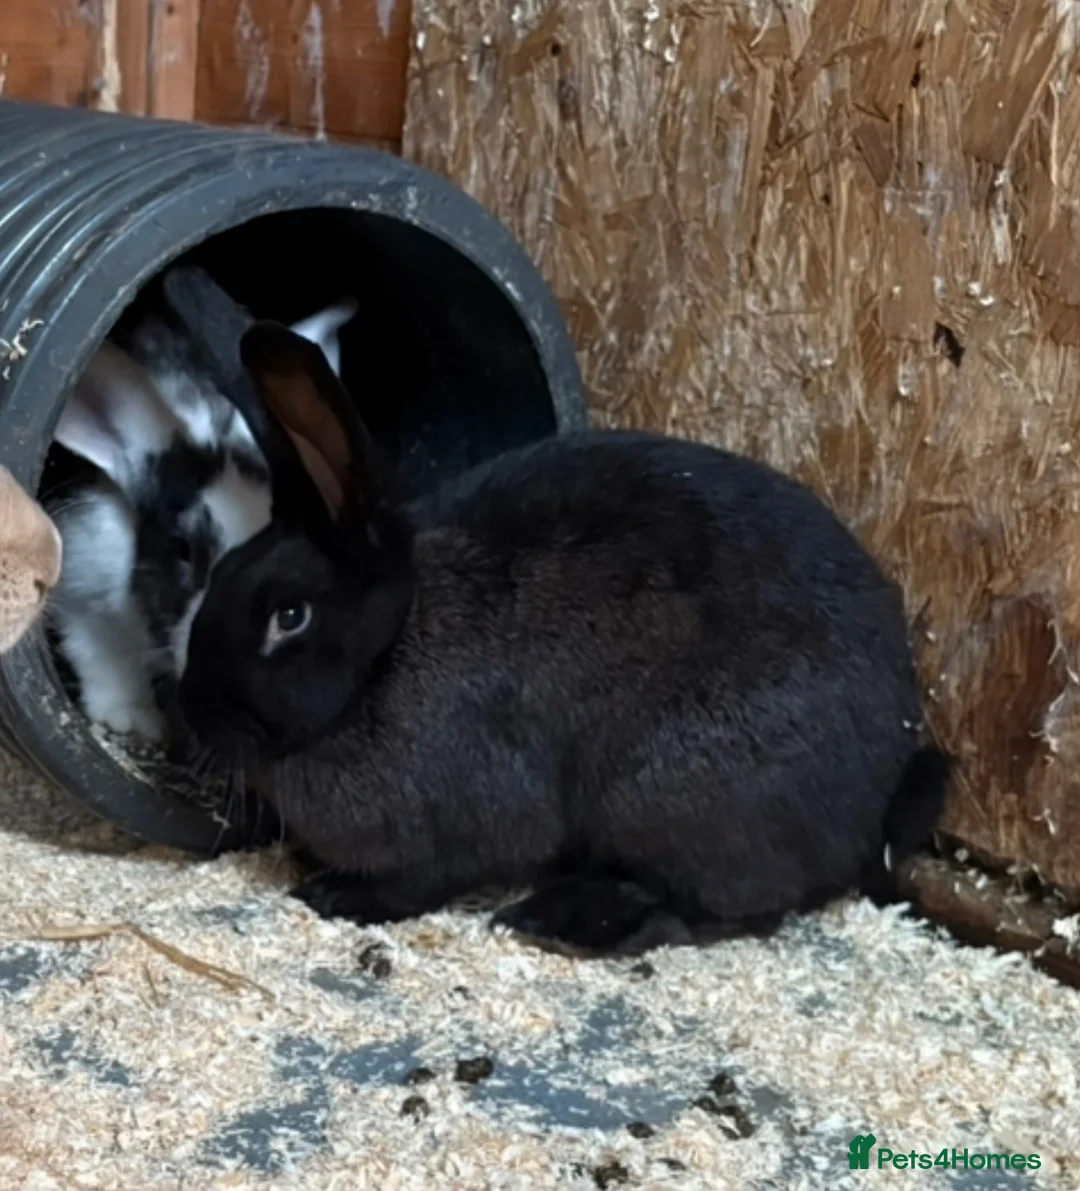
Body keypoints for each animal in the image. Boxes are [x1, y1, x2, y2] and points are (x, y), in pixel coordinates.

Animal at [166, 283, 948, 954]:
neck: (387, 654)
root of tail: (877, 800)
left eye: (289, 616)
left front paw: (334, 896)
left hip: (668, 800)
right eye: (221, 577)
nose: (194, 712)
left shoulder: (463, 814)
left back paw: (565, 920)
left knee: (714, 906)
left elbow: (423, 879)